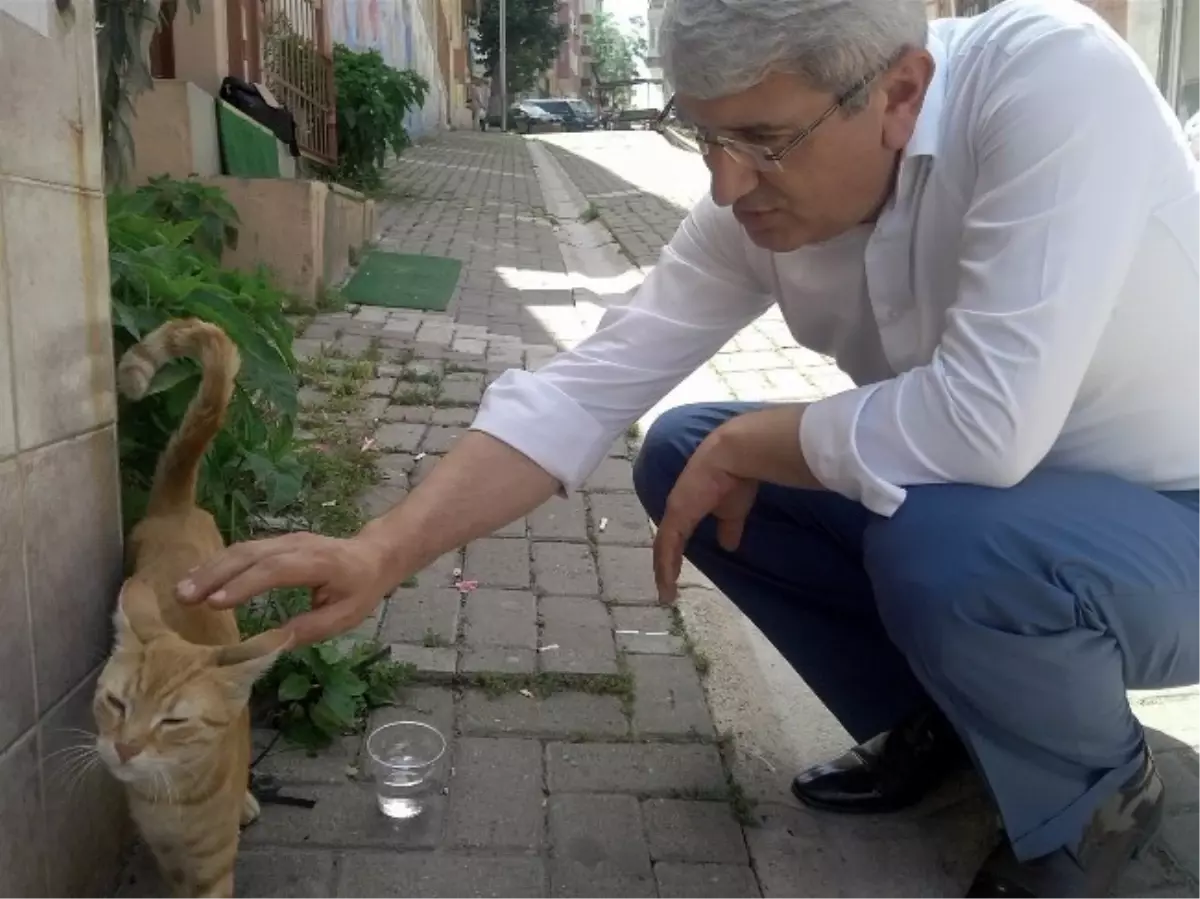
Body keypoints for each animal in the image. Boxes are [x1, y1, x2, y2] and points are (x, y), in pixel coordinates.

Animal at [94, 319, 290, 897]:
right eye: (116, 704)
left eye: (175, 721)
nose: (125, 749)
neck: (169, 799)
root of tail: (176, 507)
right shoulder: (170, 861)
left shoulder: (211, 867)